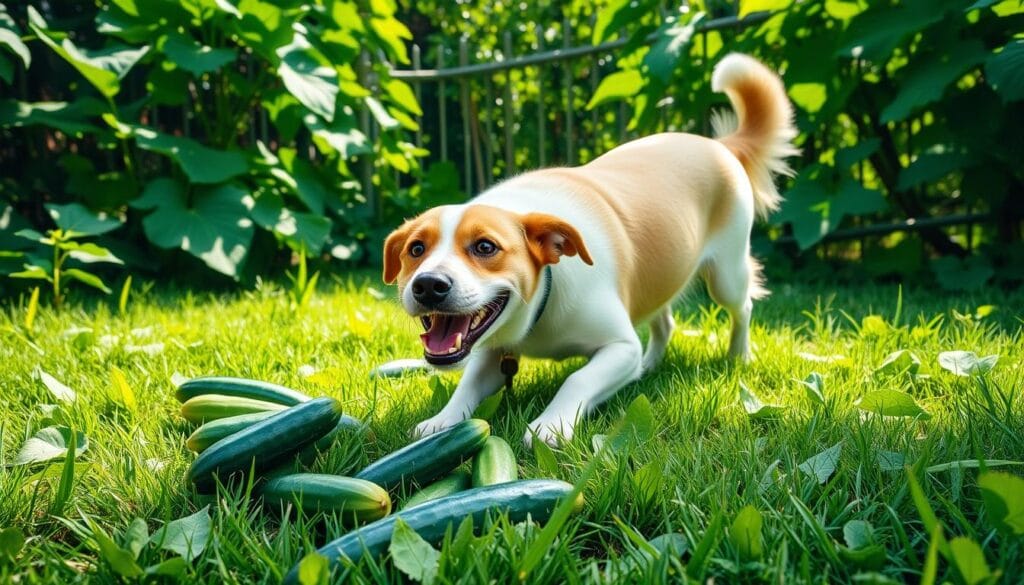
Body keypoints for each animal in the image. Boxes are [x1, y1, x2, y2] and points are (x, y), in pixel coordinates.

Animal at [380, 56, 794, 448]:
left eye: (485, 246)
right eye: (416, 249)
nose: (428, 285)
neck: (547, 291)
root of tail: (720, 146)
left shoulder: (620, 347)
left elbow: (577, 379)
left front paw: (550, 425)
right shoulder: (491, 352)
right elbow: (467, 384)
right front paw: (442, 422)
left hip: (727, 273)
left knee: (743, 307)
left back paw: (737, 356)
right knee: (664, 321)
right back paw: (649, 366)